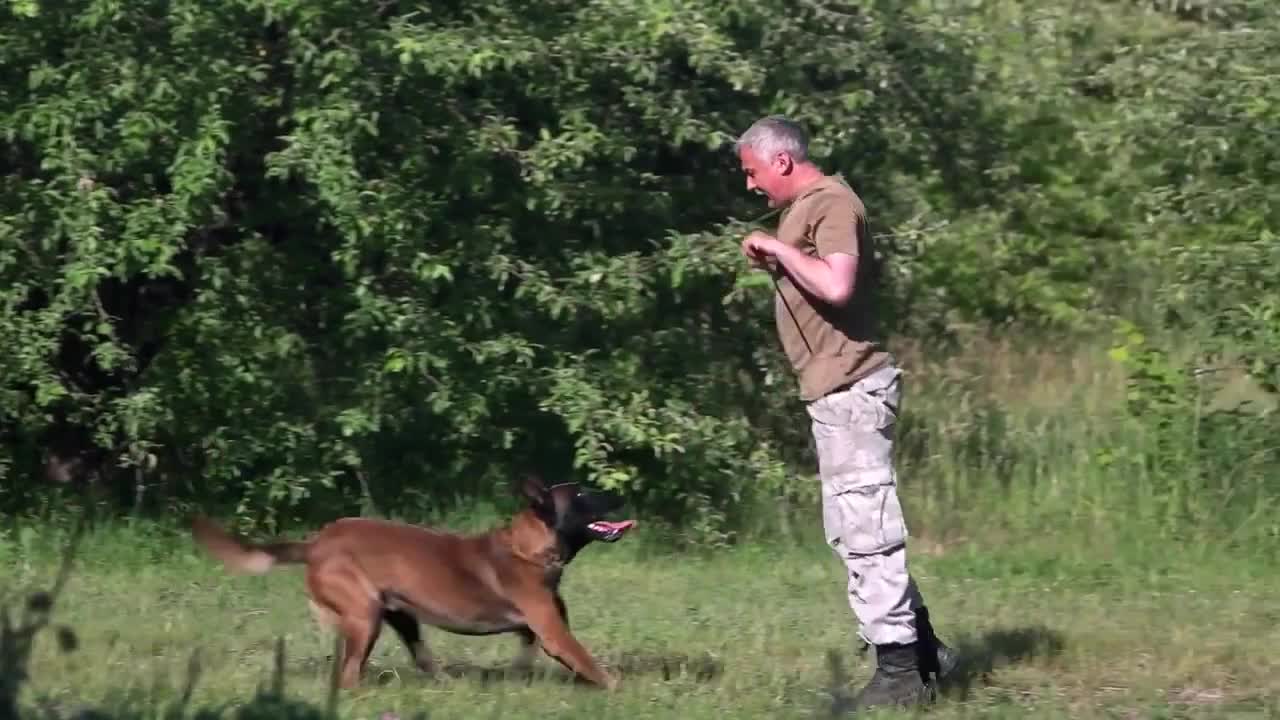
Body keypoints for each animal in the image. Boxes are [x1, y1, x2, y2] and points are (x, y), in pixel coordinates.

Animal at [188, 474, 634, 686]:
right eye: (582, 495)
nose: (622, 492)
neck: (529, 548)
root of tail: (316, 543)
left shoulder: (535, 629)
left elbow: (527, 654)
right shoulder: (554, 632)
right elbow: (587, 661)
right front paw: (615, 687)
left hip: (400, 616)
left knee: (419, 658)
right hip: (364, 615)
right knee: (349, 675)